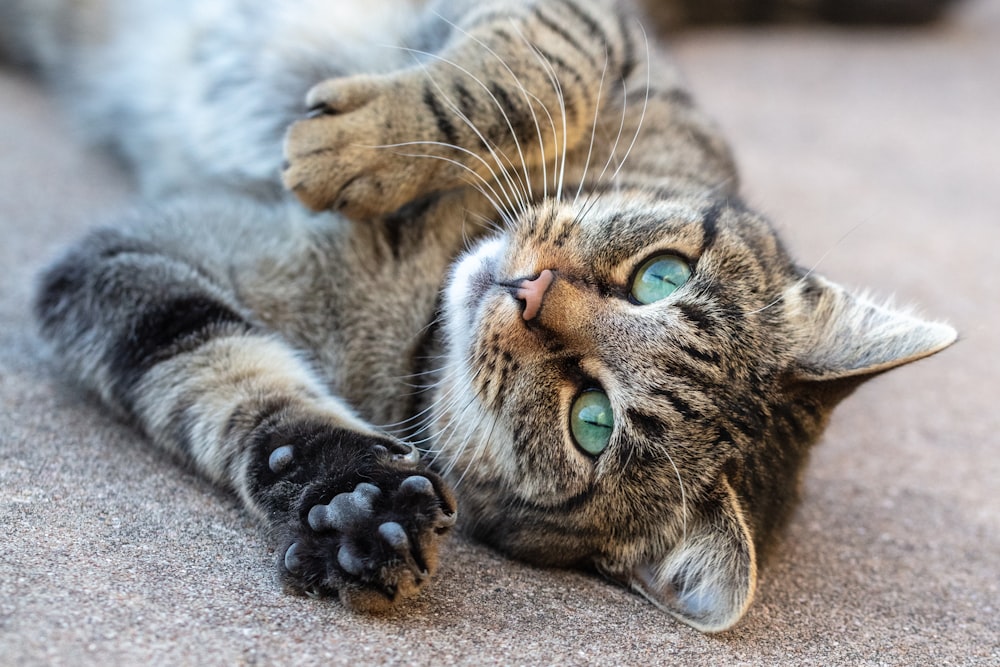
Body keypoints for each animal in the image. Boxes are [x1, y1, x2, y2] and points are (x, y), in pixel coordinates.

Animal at [3, 0, 956, 632]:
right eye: (662, 276)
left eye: (592, 422)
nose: (527, 292)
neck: (434, 265)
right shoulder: (597, 31)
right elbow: (529, 74)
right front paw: (360, 146)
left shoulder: (126, 260)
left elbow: (237, 388)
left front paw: (354, 505)